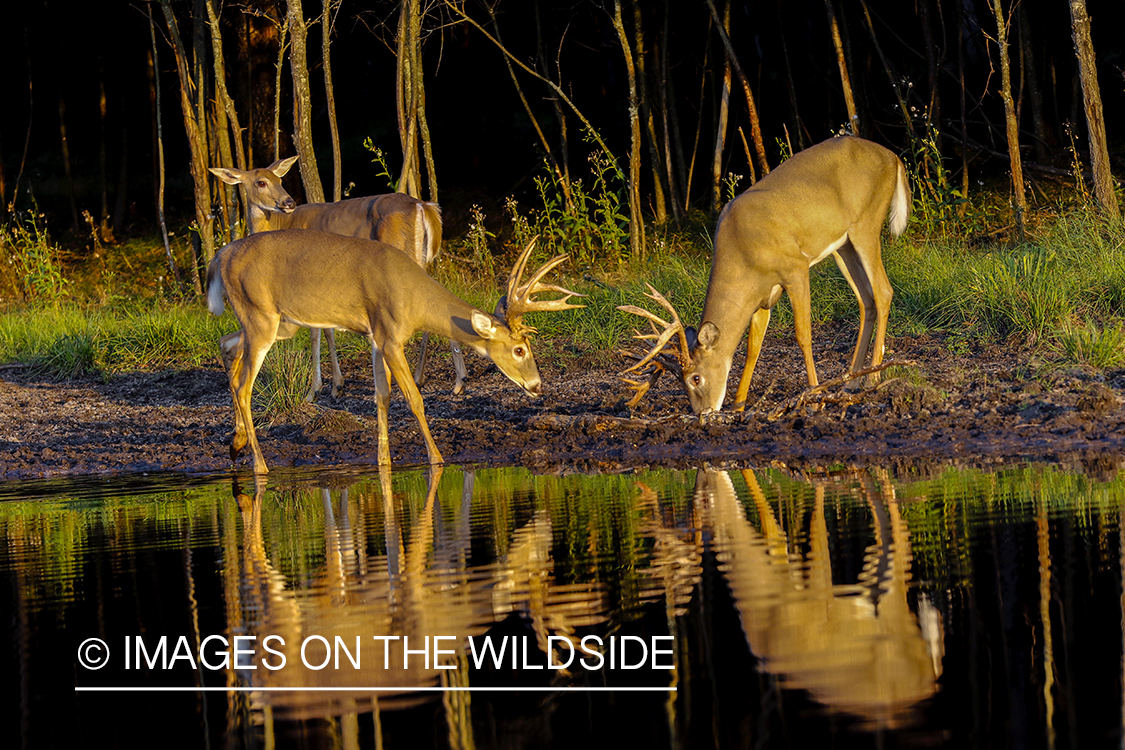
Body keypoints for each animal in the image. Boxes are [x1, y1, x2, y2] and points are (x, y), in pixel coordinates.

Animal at [205, 232, 585, 474]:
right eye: (519, 349)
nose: (537, 385)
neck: (415, 300)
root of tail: (220, 255)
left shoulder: (376, 337)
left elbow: (383, 396)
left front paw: (383, 461)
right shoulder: (391, 337)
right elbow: (415, 398)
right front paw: (437, 459)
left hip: (279, 324)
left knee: (226, 346)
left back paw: (236, 442)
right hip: (261, 316)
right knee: (244, 385)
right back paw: (260, 465)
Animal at [210, 158, 465, 402]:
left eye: (279, 180)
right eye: (261, 182)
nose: (288, 202)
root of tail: (422, 206)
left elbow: (317, 332)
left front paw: (318, 389)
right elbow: (326, 328)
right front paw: (335, 385)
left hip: (402, 253)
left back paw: (439, 379)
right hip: (420, 258)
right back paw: (451, 380)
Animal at [621, 137, 909, 413]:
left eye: (696, 378)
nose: (703, 414)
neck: (742, 253)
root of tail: (894, 157)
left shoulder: (795, 268)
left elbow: (803, 335)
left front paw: (814, 398)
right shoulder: (763, 295)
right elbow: (753, 348)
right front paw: (738, 405)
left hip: (866, 223)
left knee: (883, 291)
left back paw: (872, 378)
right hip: (843, 245)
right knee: (866, 300)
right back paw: (851, 381)